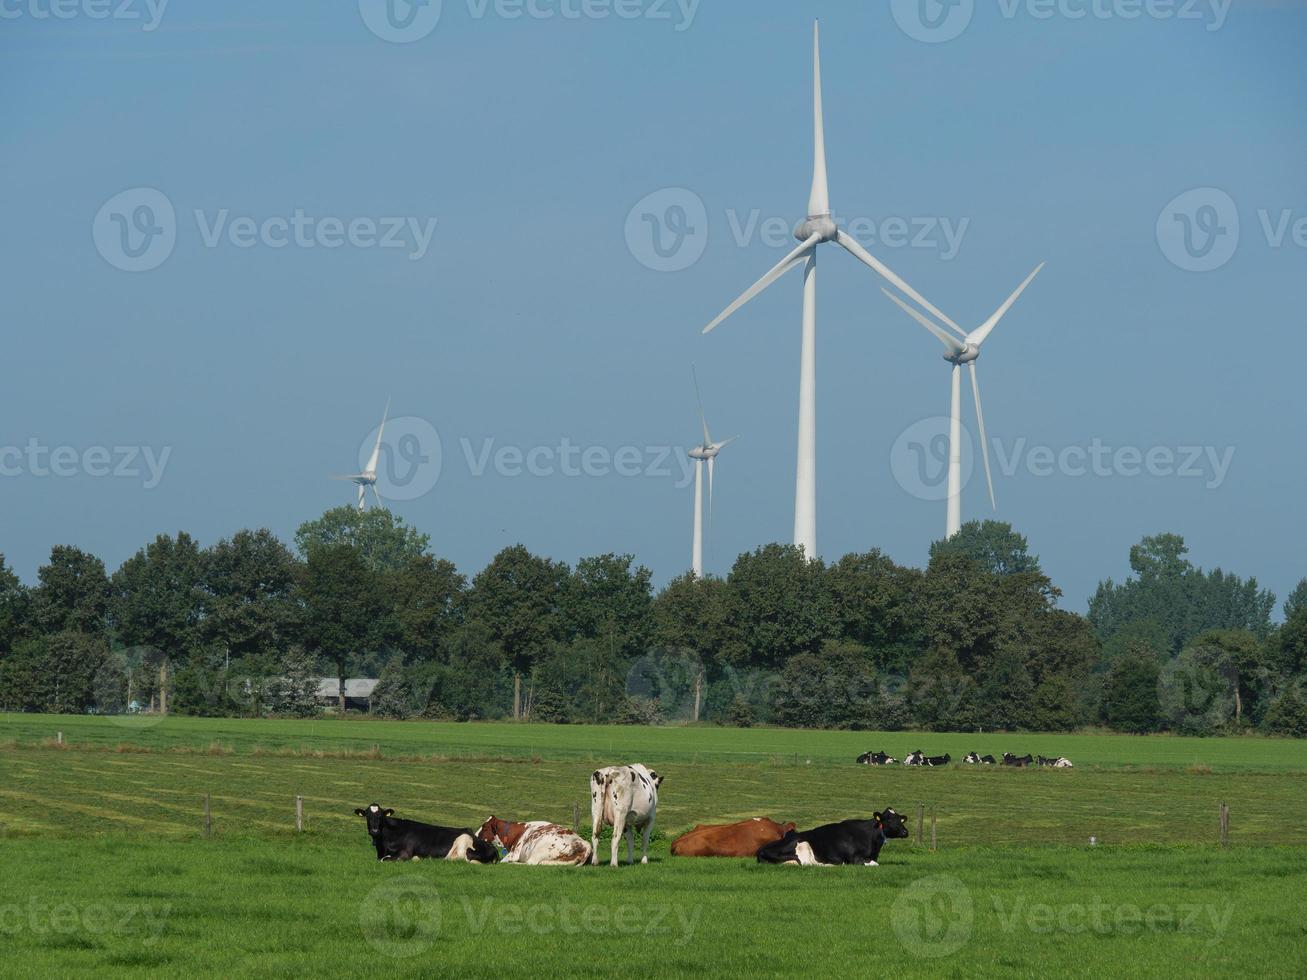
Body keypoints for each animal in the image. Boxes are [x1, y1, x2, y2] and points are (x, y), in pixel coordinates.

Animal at [352, 804, 494, 867]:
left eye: (380, 815)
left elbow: (383, 860)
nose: (374, 830)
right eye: (367, 815)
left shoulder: (404, 854)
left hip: (464, 842)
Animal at [758, 810, 909, 872]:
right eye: (888, 818)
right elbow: (875, 864)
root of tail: (761, 850)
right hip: (802, 844)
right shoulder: (855, 859)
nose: (905, 832)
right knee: (807, 864)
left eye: (900, 819)